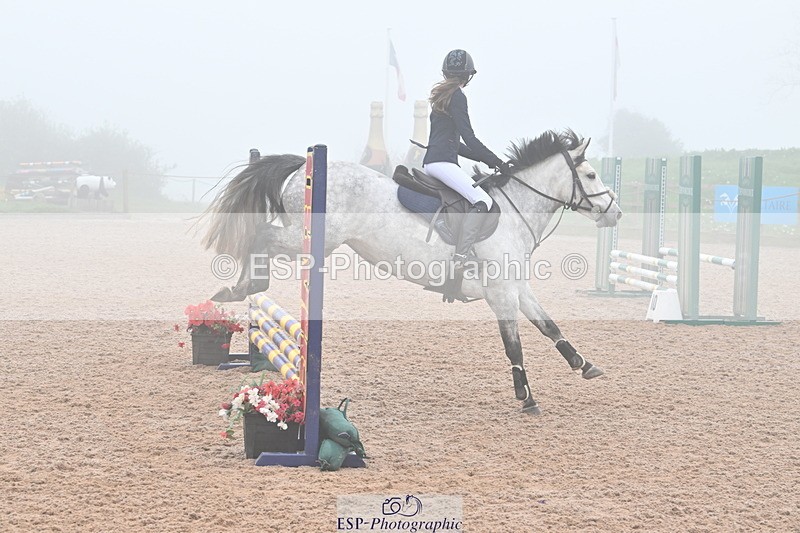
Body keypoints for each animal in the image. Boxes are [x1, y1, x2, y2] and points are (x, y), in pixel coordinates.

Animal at [202, 129, 622, 414]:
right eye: (590, 176)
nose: (616, 212)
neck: (513, 212)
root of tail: (303, 166)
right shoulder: (500, 292)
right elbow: (514, 344)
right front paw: (527, 397)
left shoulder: (516, 287)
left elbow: (548, 325)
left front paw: (583, 364)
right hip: (311, 238)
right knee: (261, 236)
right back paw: (241, 286)